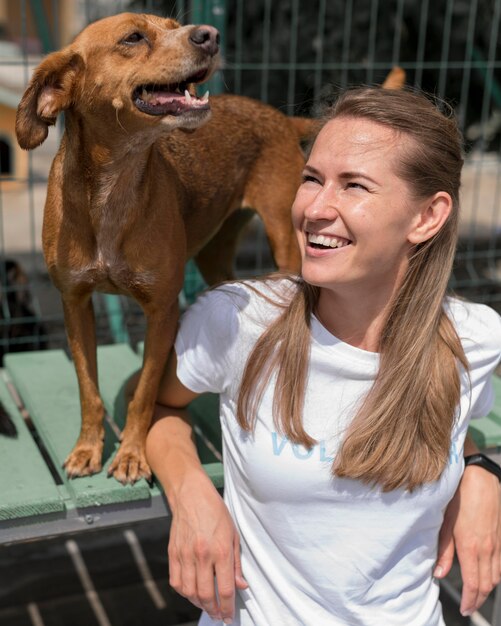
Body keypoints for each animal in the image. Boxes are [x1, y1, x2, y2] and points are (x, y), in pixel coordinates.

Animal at [14, 13, 308, 482]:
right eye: (133, 37)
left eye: (174, 25)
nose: (210, 35)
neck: (114, 186)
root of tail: (278, 116)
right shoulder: (75, 304)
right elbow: (88, 389)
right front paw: (87, 449)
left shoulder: (162, 310)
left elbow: (146, 394)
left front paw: (132, 454)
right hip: (213, 257)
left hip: (285, 240)